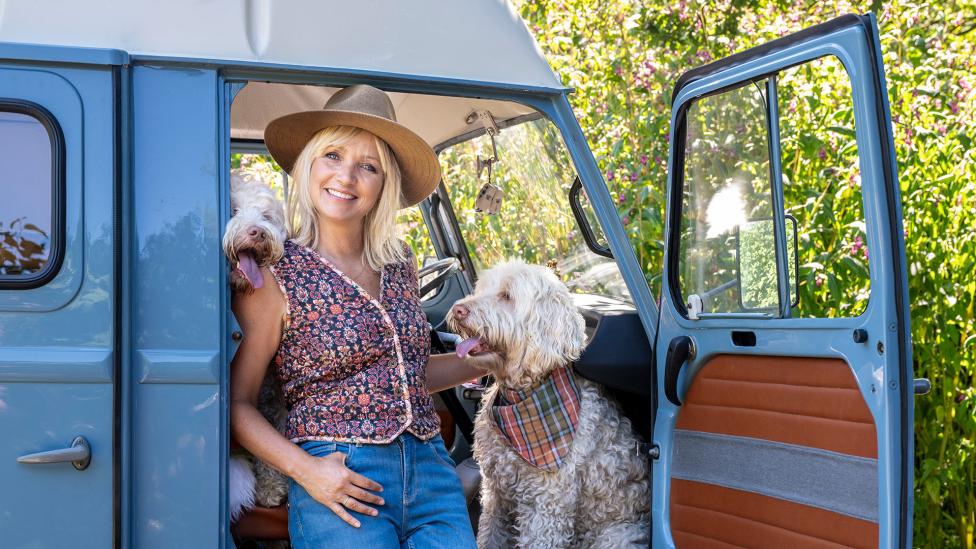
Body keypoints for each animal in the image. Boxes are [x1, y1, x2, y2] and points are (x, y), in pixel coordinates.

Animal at [448, 262, 648, 548]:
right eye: (481, 289)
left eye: (506, 296)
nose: (458, 309)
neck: (523, 397)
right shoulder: (495, 493)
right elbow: (490, 535)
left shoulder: (546, 505)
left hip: (617, 537)